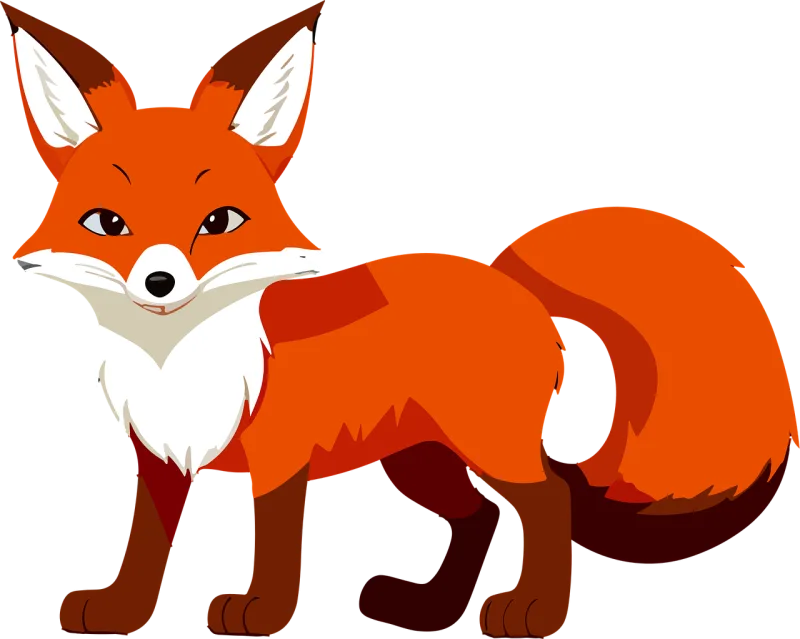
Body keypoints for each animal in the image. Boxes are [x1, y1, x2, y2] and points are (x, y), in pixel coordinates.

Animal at [5, 1, 798, 637]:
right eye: (108, 224)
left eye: (220, 222)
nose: (161, 280)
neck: (180, 357)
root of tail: (508, 274)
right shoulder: (161, 459)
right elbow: (145, 545)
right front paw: (121, 612)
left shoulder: (281, 459)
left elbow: (275, 542)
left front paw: (262, 610)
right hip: (418, 459)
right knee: (478, 516)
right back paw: (432, 609)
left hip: (486, 445)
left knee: (550, 501)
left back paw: (534, 611)